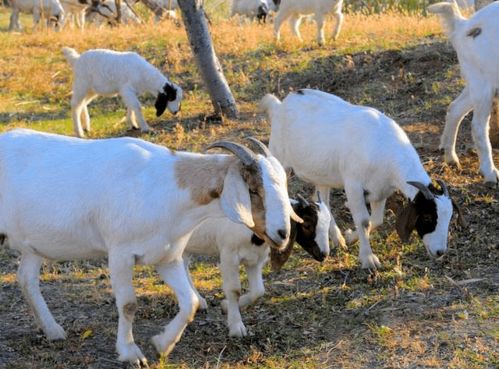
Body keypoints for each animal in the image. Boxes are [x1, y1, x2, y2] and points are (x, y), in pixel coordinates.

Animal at [0, 128, 300, 364]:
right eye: (253, 190)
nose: (282, 233)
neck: (161, 186)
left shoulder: (168, 257)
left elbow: (190, 303)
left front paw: (161, 345)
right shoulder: (119, 253)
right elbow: (128, 305)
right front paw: (131, 353)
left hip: (32, 245)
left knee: (26, 279)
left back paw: (53, 331)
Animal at [186, 190, 330, 340]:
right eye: (307, 224)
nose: (324, 254)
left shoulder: (255, 259)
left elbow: (258, 291)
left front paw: (225, 306)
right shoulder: (229, 256)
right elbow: (234, 290)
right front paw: (236, 327)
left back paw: (198, 301)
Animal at [260, 89, 466, 268]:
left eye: (450, 218)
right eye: (427, 216)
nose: (440, 252)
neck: (385, 147)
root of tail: (280, 105)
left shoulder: (380, 190)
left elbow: (377, 220)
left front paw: (350, 237)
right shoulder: (353, 185)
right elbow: (363, 221)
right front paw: (368, 259)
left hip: (323, 174)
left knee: (322, 200)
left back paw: (337, 239)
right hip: (279, 157)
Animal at [428, 0, 499, 183]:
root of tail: (462, 26)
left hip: (477, 82)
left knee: (455, 108)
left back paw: (451, 158)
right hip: (483, 85)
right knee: (478, 126)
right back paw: (490, 173)